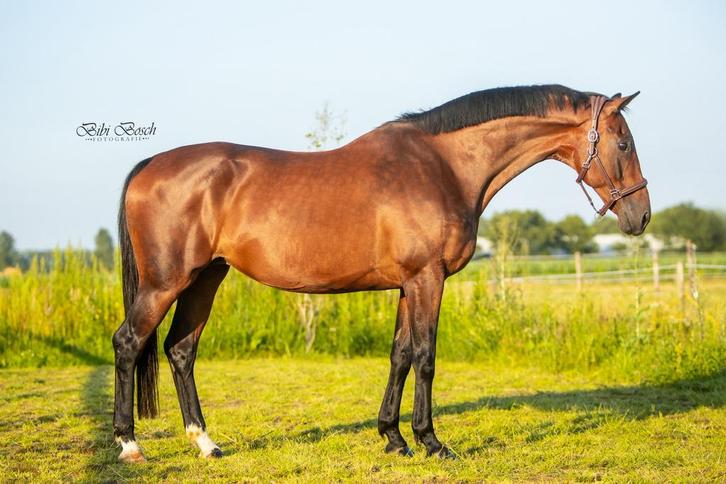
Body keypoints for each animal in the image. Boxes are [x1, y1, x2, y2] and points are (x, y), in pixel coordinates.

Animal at [112, 85, 650, 462]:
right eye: (624, 143)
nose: (640, 215)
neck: (443, 166)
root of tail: (149, 164)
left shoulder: (408, 284)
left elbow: (400, 355)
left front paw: (393, 438)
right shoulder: (428, 278)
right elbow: (426, 356)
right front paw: (432, 442)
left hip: (206, 278)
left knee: (181, 350)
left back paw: (206, 443)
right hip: (166, 283)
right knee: (129, 342)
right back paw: (130, 445)